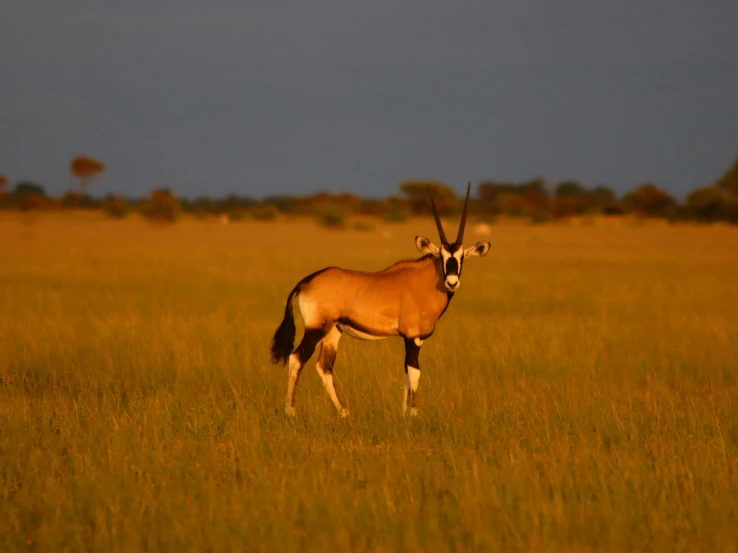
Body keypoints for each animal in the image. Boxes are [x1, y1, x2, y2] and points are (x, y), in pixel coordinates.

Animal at [268, 183, 486, 416]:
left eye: (462, 258)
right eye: (442, 257)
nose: (452, 282)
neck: (426, 281)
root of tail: (306, 282)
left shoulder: (410, 339)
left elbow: (406, 373)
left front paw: (404, 412)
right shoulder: (413, 337)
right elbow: (414, 372)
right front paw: (414, 413)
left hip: (332, 332)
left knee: (324, 367)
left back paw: (344, 412)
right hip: (316, 329)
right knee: (297, 358)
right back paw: (291, 410)